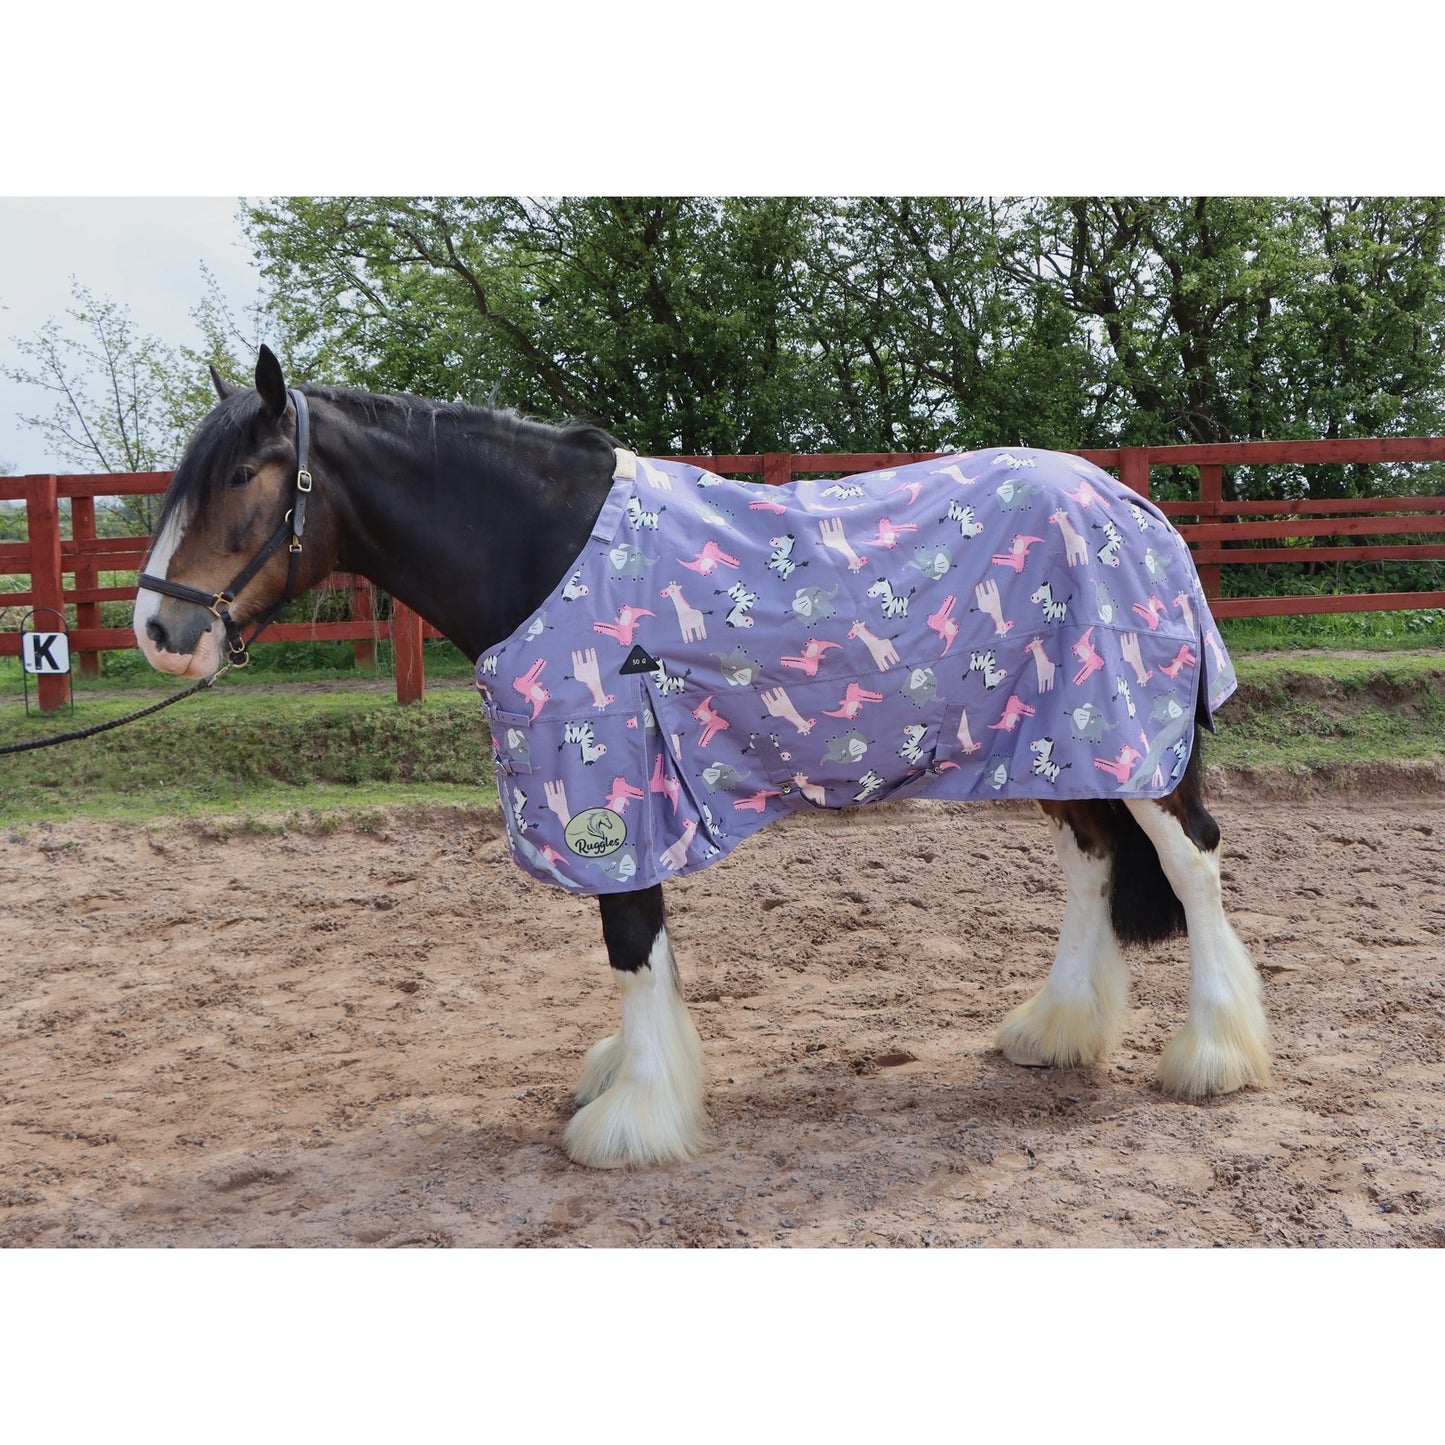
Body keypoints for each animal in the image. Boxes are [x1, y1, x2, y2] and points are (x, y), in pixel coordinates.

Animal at [133, 346, 1271, 1170]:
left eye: (244, 474)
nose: (157, 628)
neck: (546, 552)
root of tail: (1134, 508)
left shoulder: (608, 786)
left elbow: (630, 939)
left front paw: (632, 1119)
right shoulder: (633, 790)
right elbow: (653, 949)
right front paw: (641, 1079)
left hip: (1133, 741)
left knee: (1190, 861)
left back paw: (1214, 1053)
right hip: (1060, 744)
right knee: (1091, 862)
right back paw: (1056, 1026)